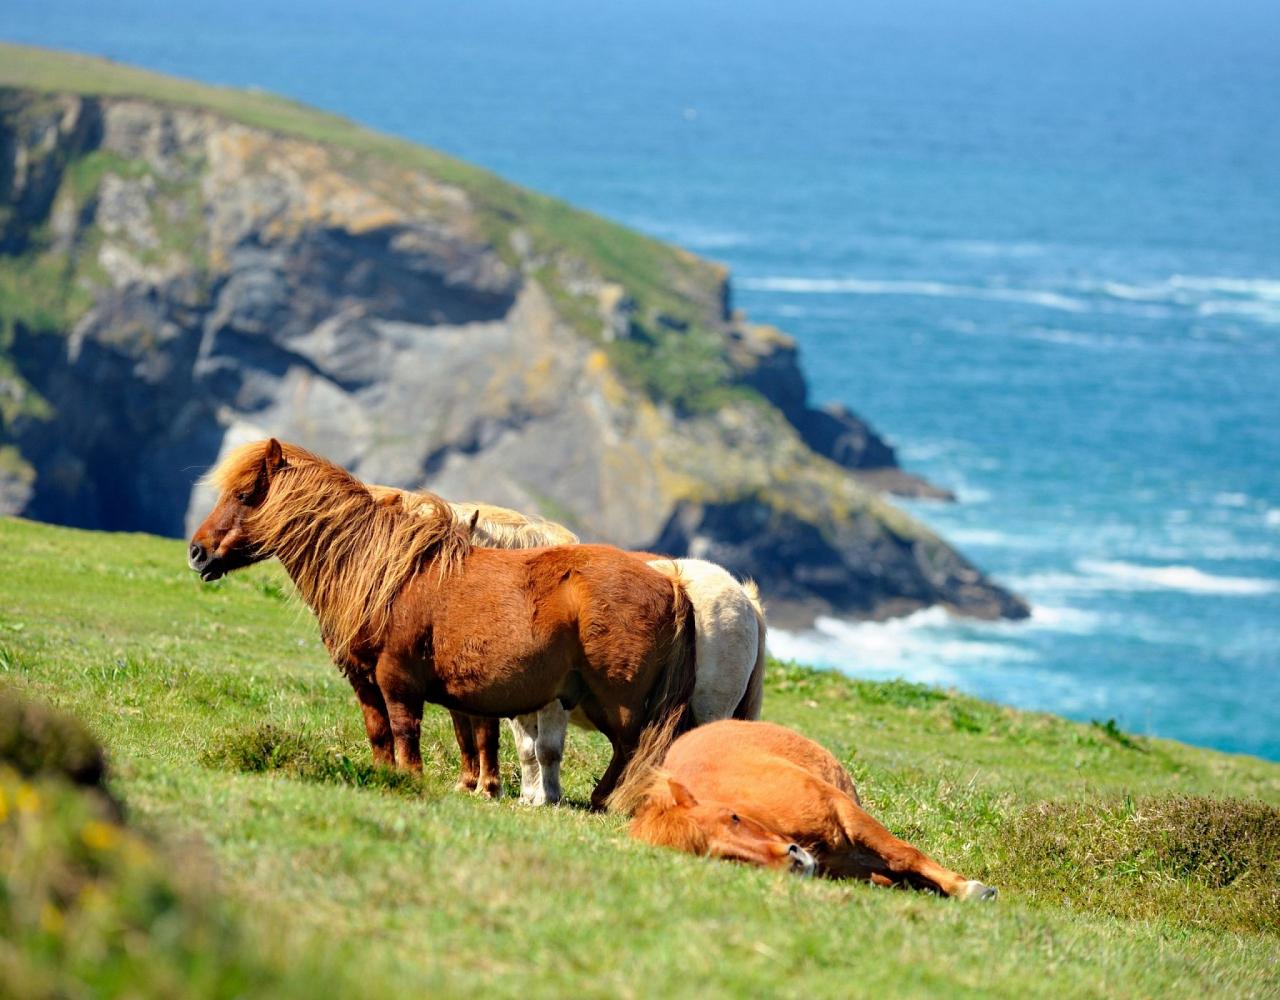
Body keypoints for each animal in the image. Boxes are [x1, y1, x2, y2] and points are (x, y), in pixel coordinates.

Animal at [185, 440, 696, 809]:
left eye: (245, 495)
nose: (197, 552)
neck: (383, 574)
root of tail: (670, 582)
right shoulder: (365, 681)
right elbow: (380, 734)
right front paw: (384, 778)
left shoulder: (398, 680)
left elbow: (406, 733)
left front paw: (412, 782)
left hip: (617, 703)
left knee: (631, 750)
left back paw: (604, 801)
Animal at [371, 483, 768, 804]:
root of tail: (745, 599)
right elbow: (510, 745)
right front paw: (519, 794)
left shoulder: (543, 700)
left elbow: (537, 747)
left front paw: (533, 795)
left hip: (706, 709)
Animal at [619, 717, 998, 896]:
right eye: (721, 857)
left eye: (734, 818)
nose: (795, 860)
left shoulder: (844, 811)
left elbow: (905, 854)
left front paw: (968, 889)